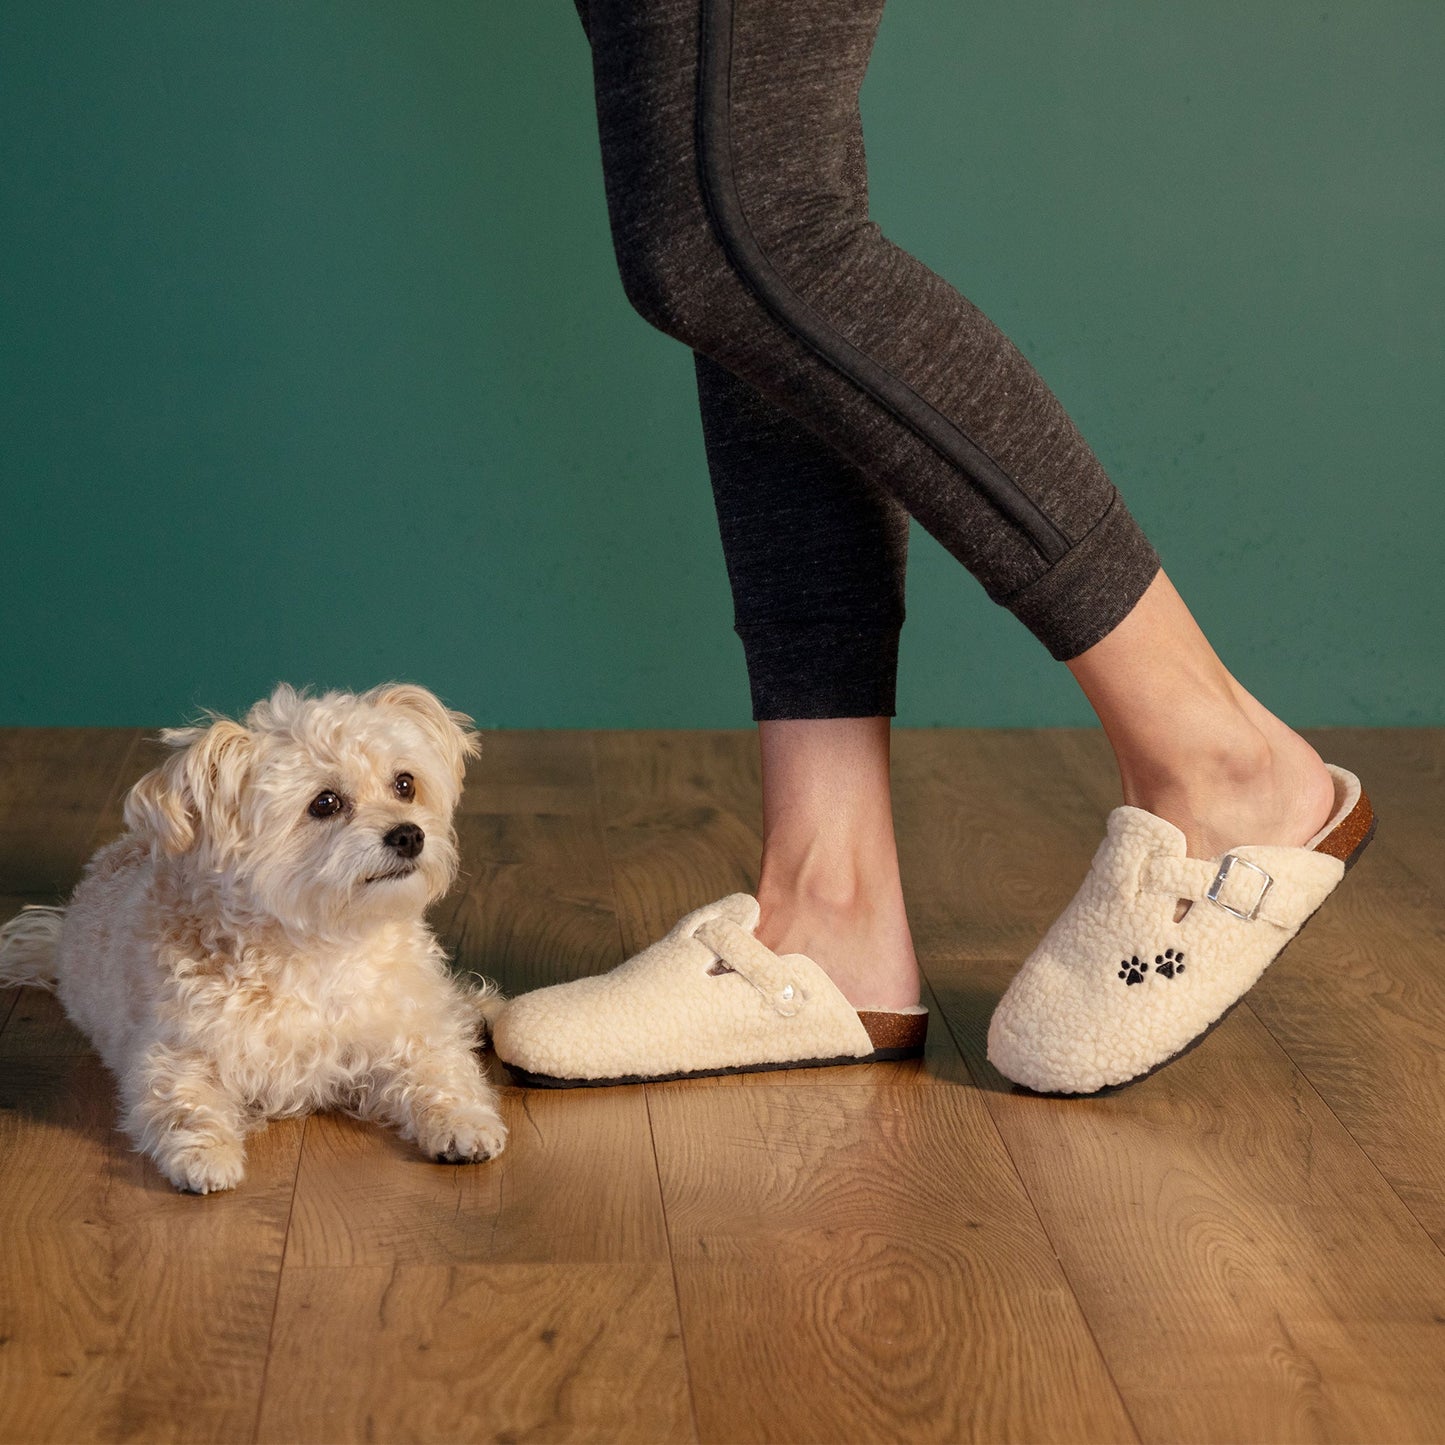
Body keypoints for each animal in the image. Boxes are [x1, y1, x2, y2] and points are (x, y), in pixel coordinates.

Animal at [0, 682, 508, 1190]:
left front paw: (465, 1122)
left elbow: (441, 1070)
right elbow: (185, 1104)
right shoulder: (175, 1054)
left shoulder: (407, 1029)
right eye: (325, 803)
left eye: (405, 784)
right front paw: (205, 1156)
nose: (409, 835)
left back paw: (481, 1011)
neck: (321, 944)